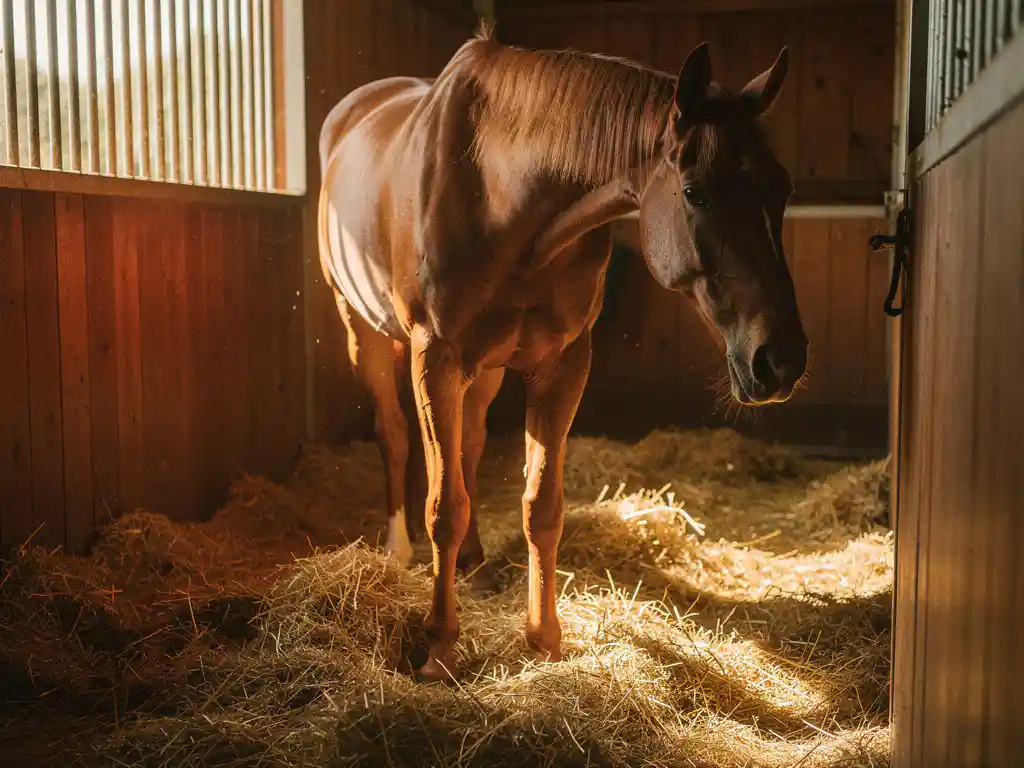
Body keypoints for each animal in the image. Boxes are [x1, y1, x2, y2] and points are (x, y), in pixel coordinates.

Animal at [316, 27, 808, 681]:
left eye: (781, 189)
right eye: (696, 193)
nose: (781, 359)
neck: (499, 191)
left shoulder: (562, 365)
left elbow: (540, 509)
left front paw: (545, 639)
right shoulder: (436, 358)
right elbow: (444, 507)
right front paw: (439, 647)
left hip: (485, 370)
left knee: (468, 448)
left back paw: (474, 563)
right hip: (364, 332)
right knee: (395, 436)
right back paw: (396, 552)